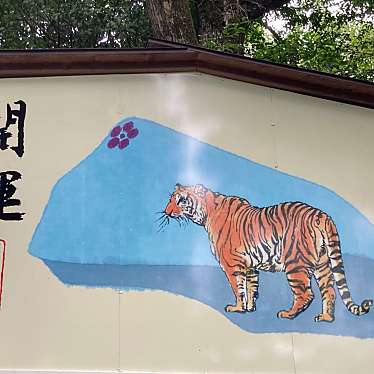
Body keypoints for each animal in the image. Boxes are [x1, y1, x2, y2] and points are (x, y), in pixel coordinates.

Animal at [162, 183, 372, 322]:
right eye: (170, 199)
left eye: (180, 201)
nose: (166, 212)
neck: (207, 213)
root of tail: (322, 215)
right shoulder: (249, 265)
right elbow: (250, 287)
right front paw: (249, 308)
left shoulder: (232, 264)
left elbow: (238, 288)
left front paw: (237, 308)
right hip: (322, 264)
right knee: (329, 290)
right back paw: (326, 317)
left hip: (295, 263)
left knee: (306, 294)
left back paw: (288, 314)